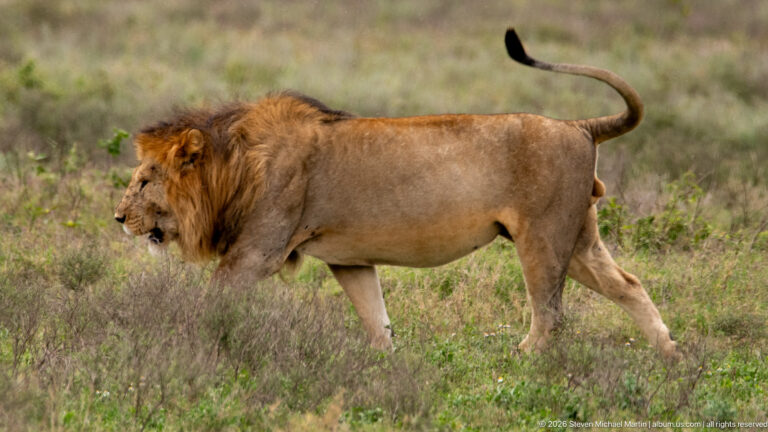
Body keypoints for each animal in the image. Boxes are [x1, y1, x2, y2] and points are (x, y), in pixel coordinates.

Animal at [115, 29, 679, 361]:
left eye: (144, 180)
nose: (119, 219)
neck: (234, 164)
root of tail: (579, 126)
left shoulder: (257, 252)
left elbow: (208, 302)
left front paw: (179, 341)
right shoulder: (349, 259)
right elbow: (376, 317)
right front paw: (387, 363)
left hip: (541, 238)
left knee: (550, 314)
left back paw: (521, 361)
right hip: (577, 238)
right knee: (628, 284)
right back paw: (670, 354)